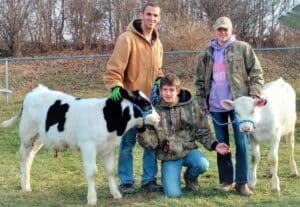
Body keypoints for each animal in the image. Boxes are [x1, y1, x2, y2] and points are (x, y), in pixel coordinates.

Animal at [1, 84, 161, 205]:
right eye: (145, 103)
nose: (159, 118)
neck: (107, 119)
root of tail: (37, 90)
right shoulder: (88, 146)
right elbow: (92, 172)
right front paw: (92, 199)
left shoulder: (108, 148)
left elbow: (110, 170)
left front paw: (115, 194)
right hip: (27, 135)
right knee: (23, 158)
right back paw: (25, 186)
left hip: (39, 138)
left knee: (30, 158)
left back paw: (27, 184)